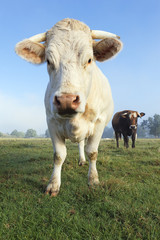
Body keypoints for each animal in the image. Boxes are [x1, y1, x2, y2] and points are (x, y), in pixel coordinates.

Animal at [15, 18, 122, 195]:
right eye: (49, 61)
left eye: (89, 59)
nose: (66, 100)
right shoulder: (51, 121)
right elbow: (59, 155)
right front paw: (53, 185)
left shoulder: (99, 123)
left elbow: (92, 152)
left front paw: (93, 180)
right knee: (80, 143)